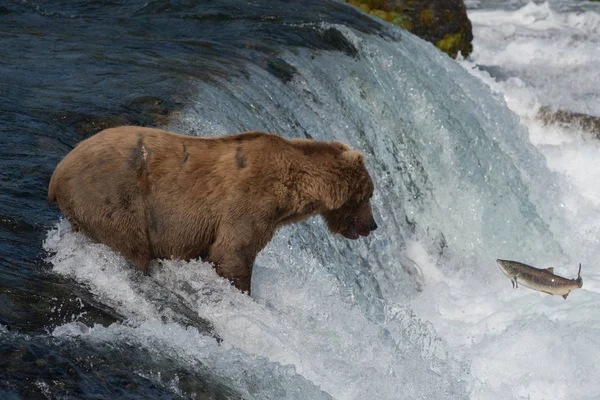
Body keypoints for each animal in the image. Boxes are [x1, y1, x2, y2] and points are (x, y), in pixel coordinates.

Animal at [48, 126, 376, 294]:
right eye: (368, 195)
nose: (371, 225)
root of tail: (57, 173)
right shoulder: (248, 203)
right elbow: (234, 252)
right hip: (113, 197)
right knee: (130, 246)